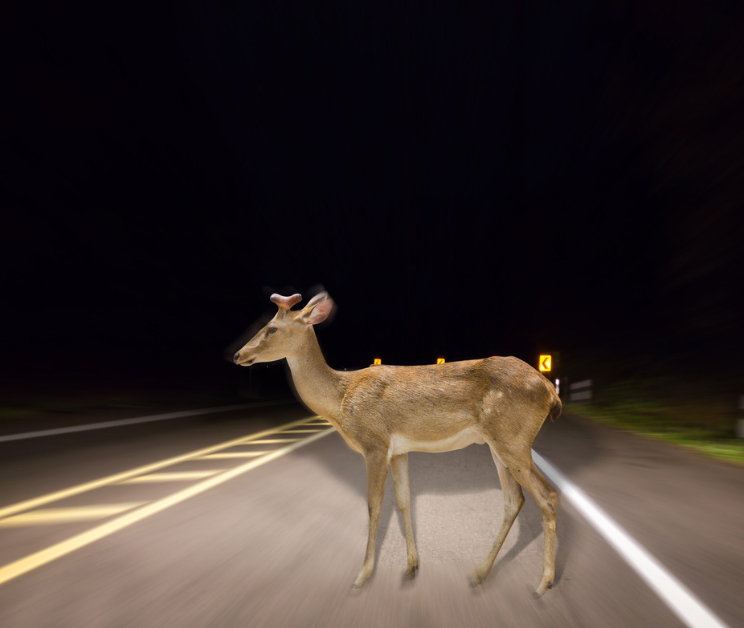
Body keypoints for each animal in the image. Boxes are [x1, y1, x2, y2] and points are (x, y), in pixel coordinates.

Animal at [233, 291, 562, 595]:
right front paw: (412, 566)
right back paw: (480, 573)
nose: (237, 355)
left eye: (271, 328)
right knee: (517, 499)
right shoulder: (398, 451)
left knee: (546, 496)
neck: (340, 400)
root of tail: (550, 391)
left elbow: (374, 505)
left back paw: (543, 582)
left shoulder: (375, 444)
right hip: (500, 444)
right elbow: (404, 501)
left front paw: (363, 575)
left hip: (512, 439)